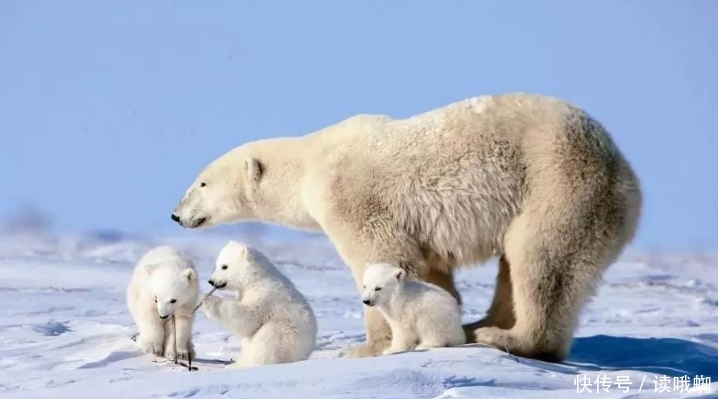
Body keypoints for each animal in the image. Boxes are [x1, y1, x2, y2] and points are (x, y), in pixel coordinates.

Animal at [172, 92, 644, 364]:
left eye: (201, 182)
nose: (176, 214)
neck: (310, 163)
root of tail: (622, 167)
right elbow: (430, 272)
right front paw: (442, 320)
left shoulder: (352, 196)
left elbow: (381, 256)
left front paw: (365, 347)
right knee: (517, 267)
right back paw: (478, 326)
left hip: (561, 183)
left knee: (540, 258)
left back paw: (504, 336)